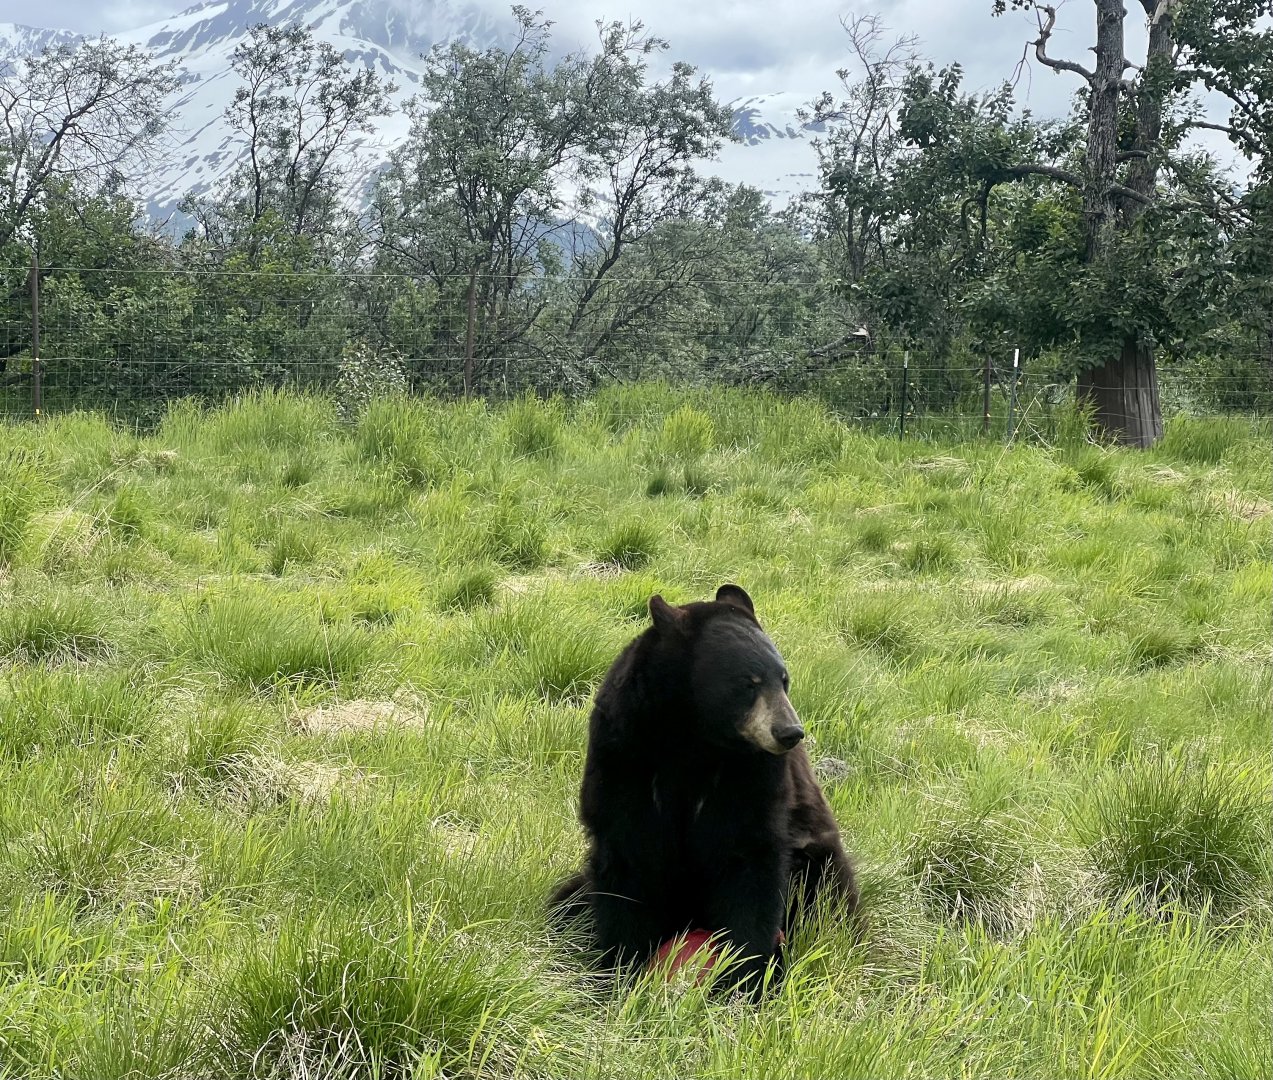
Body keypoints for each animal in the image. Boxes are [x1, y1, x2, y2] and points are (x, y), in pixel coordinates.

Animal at [548, 584, 858, 992]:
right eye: (748, 683)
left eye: (784, 679)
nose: (790, 732)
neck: (694, 738)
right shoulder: (624, 755)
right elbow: (626, 858)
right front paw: (618, 970)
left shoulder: (751, 775)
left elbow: (750, 861)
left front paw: (744, 981)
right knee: (566, 901)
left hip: (818, 869)